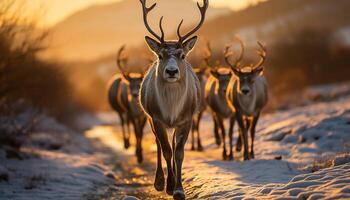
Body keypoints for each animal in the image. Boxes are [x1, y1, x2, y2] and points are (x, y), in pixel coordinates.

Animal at [137, 0, 208, 198]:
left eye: (182, 55)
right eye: (160, 55)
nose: (171, 71)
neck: (171, 110)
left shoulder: (187, 118)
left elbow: (179, 152)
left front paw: (179, 189)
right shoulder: (156, 117)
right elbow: (167, 150)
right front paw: (168, 186)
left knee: (173, 143)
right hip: (148, 116)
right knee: (158, 144)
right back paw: (159, 181)